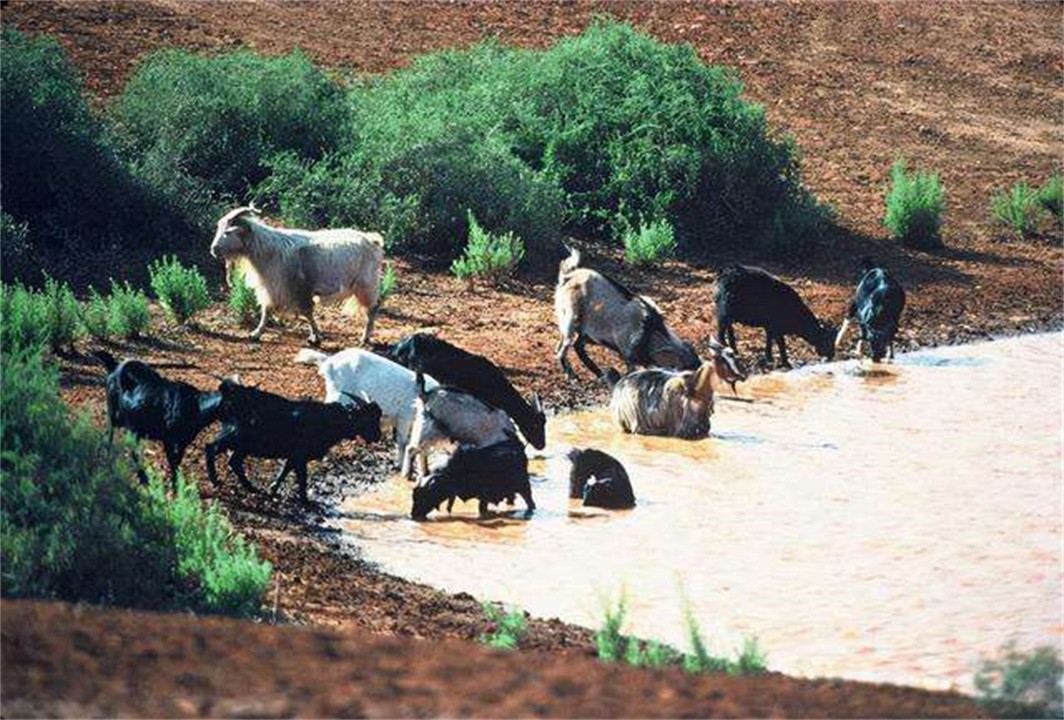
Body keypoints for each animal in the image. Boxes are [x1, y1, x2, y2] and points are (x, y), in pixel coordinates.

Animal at [94, 348, 222, 489]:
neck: (196, 405)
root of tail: (113, 367)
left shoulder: (183, 442)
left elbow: (177, 461)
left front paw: (176, 482)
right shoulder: (168, 439)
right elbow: (172, 460)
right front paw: (175, 485)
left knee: (108, 438)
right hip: (116, 416)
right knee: (114, 440)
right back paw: (139, 477)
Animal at [203, 378, 383, 501]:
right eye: (366, 418)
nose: (377, 436)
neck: (328, 419)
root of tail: (229, 397)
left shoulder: (294, 456)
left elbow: (285, 470)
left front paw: (273, 489)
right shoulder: (301, 456)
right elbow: (302, 478)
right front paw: (305, 501)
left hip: (238, 442)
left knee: (227, 457)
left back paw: (248, 487)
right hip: (236, 437)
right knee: (215, 450)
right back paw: (219, 481)